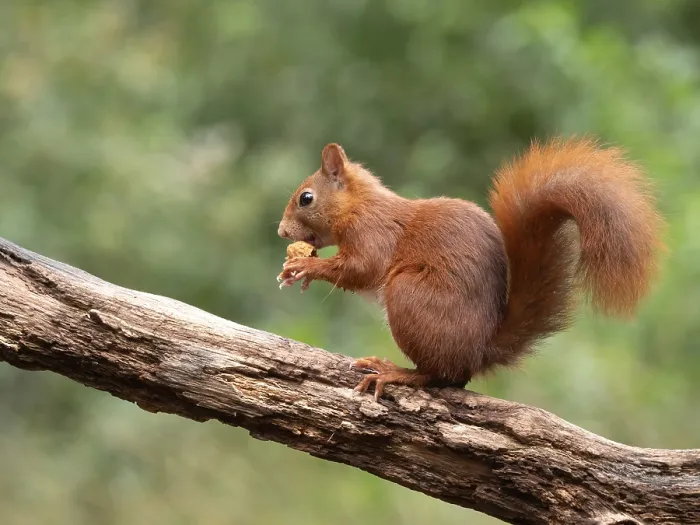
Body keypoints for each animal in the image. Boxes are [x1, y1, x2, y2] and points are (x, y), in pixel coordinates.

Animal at [277, 138, 664, 400]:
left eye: (306, 198)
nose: (281, 232)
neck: (359, 205)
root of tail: (479, 350)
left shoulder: (373, 233)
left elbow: (360, 269)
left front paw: (305, 265)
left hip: (408, 294)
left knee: (443, 376)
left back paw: (396, 373)